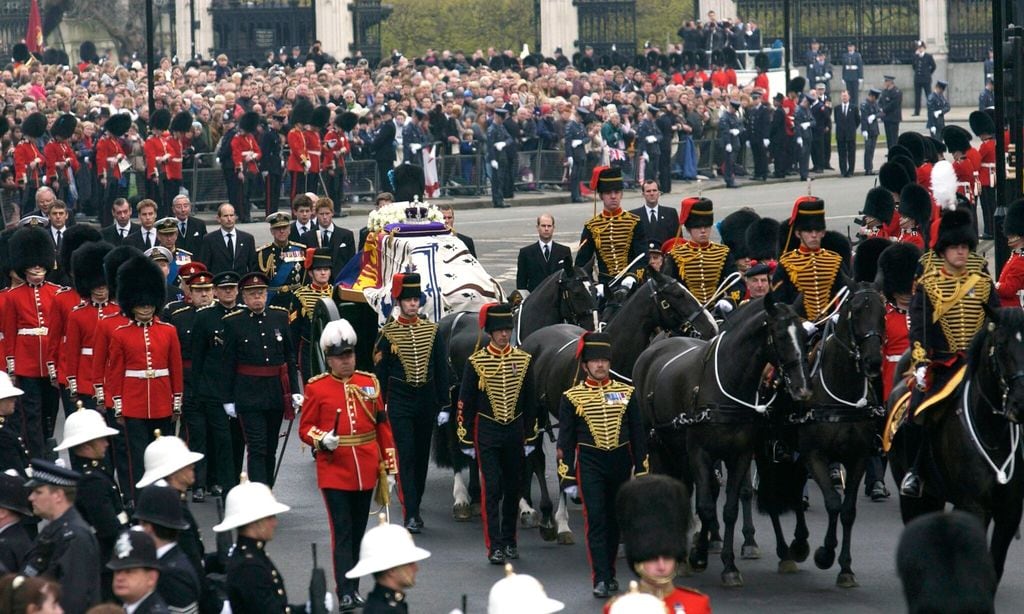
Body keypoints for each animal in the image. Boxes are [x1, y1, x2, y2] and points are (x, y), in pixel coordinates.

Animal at [434, 260, 598, 519]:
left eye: (595, 290)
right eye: (577, 292)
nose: (591, 331)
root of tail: (445, 321)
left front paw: (522, 499)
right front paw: (525, 503)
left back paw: (476, 492)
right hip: (452, 395)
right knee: (454, 440)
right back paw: (461, 497)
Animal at [638, 294, 815, 589]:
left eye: (804, 335)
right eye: (779, 335)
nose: (802, 388)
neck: (728, 385)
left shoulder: (740, 455)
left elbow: (729, 507)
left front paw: (729, 565)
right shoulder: (700, 452)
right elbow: (707, 506)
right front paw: (697, 555)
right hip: (657, 443)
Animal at [888, 307, 1024, 581]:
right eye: (1001, 346)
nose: (1021, 403)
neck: (993, 433)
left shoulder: (1010, 511)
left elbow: (994, 568)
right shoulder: (974, 506)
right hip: (912, 492)